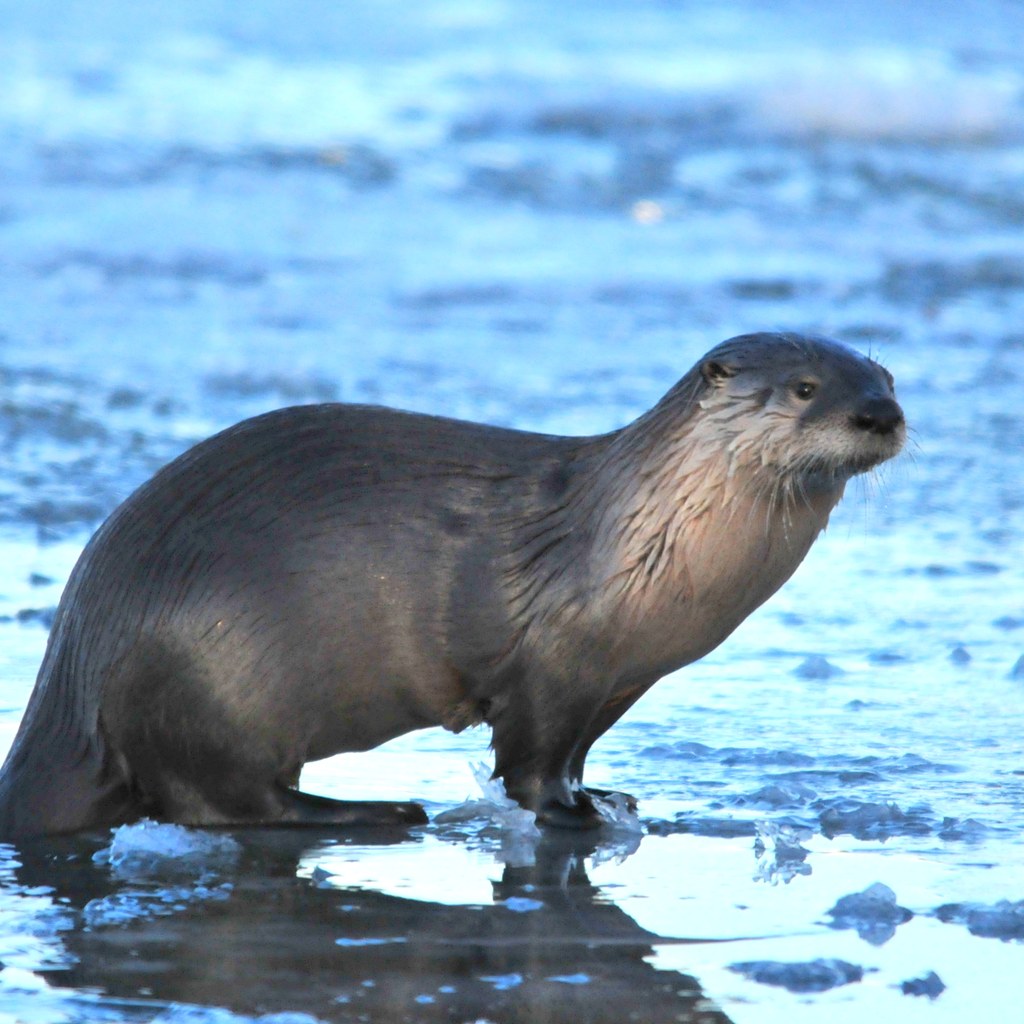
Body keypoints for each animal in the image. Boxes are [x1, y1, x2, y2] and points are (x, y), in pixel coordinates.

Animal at [0, 332, 904, 840]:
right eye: (805, 389)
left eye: (887, 379)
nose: (880, 416)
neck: (641, 540)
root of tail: (76, 662)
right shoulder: (555, 662)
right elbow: (531, 762)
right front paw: (569, 814)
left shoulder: (619, 680)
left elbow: (577, 754)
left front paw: (604, 794)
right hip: (205, 677)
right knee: (221, 800)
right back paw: (378, 812)